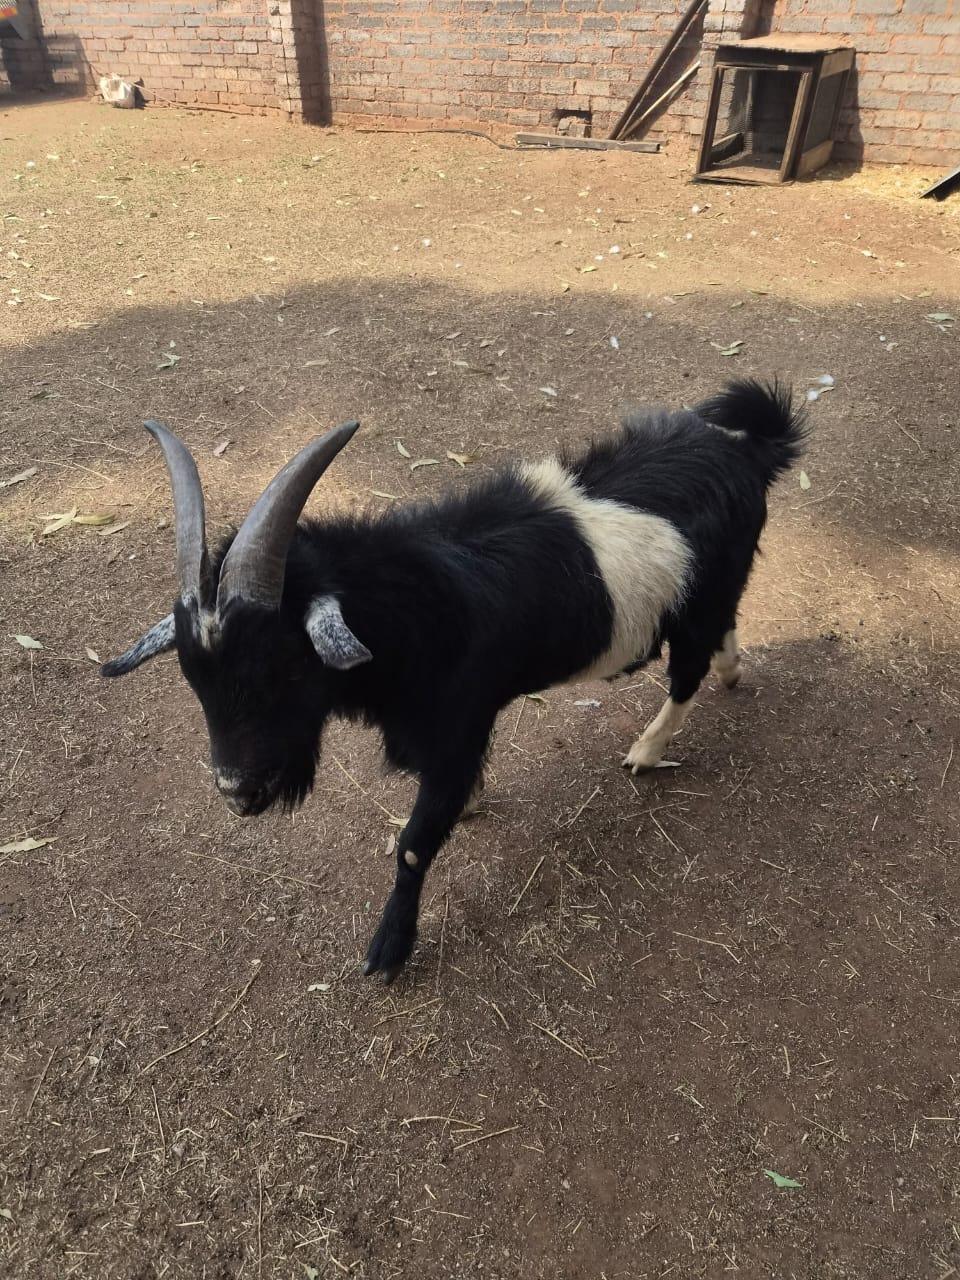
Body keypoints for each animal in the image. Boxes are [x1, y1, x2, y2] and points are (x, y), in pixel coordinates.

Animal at [103, 379, 805, 981]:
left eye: (284, 665)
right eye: (194, 679)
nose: (235, 791)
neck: (420, 604)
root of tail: (747, 451)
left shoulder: (460, 725)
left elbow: (415, 845)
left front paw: (389, 950)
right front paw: (468, 806)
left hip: (701, 598)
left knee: (686, 674)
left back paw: (647, 750)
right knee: (723, 633)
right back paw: (731, 671)